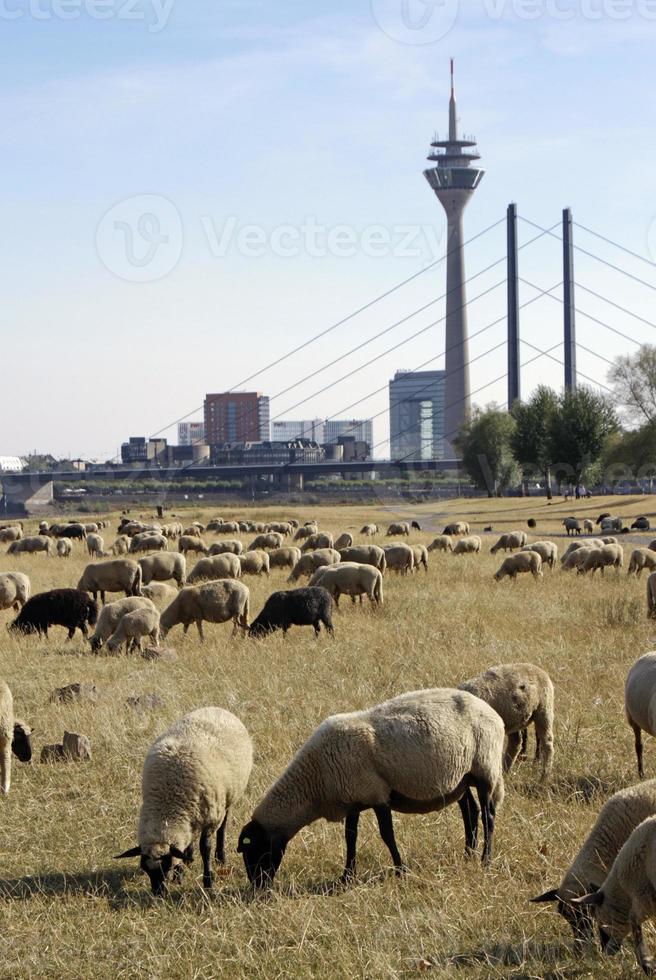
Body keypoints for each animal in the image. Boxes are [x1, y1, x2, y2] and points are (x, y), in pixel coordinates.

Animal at [114, 704, 251, 896]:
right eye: (145, 869)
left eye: (166, 866)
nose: (158, 894)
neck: (167, 803)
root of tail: (216, 707)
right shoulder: (187, 815)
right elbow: (183, 847)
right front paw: (180, 874)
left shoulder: (210, 818)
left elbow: (205, 848)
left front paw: (208, 881)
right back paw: (190, 857)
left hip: (227, 798)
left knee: (223, 825)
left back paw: (220, 856)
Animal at [238, 684, 504, 884]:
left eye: (254, 850)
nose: (258, 886)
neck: (315, 779)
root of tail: (492, 713)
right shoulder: (353, 799)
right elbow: (350, 837)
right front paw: (347, 876)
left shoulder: (378, 795)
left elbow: (387, 834)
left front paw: (400, 870)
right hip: (460, 779)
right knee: (470, 811)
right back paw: (468, 854)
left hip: (485, 767)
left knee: (488, 815)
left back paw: (485, 860)